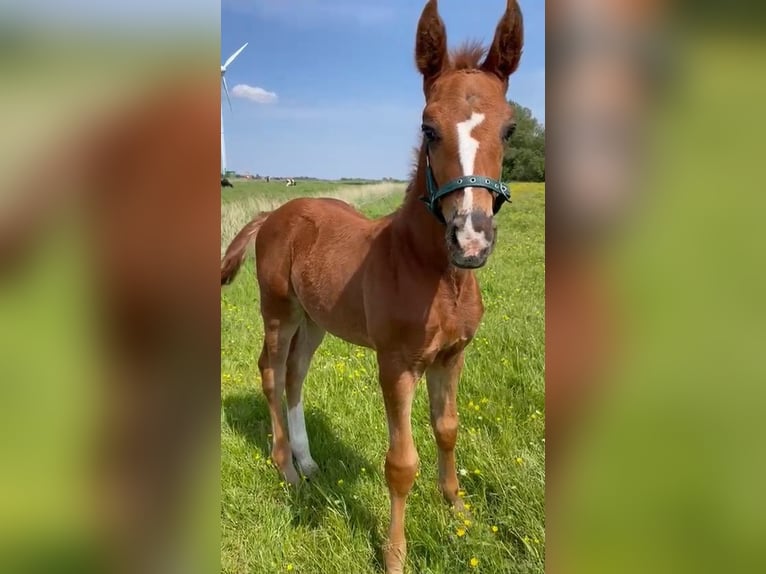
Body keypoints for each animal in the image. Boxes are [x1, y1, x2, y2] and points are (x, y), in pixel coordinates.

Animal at [219, 2, 524, 572]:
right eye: (428, 128)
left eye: (511, 129)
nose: (470, 238)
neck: (436, 274)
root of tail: (275, 214)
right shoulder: (396, 363)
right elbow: (401, 463)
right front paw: (395, 555)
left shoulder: (452, 356)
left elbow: (448, 429)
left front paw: (458, 514)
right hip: (279, 310)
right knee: (270, 370)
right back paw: (286, 469)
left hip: (315, 320)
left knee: (294, 375)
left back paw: (308, 462)